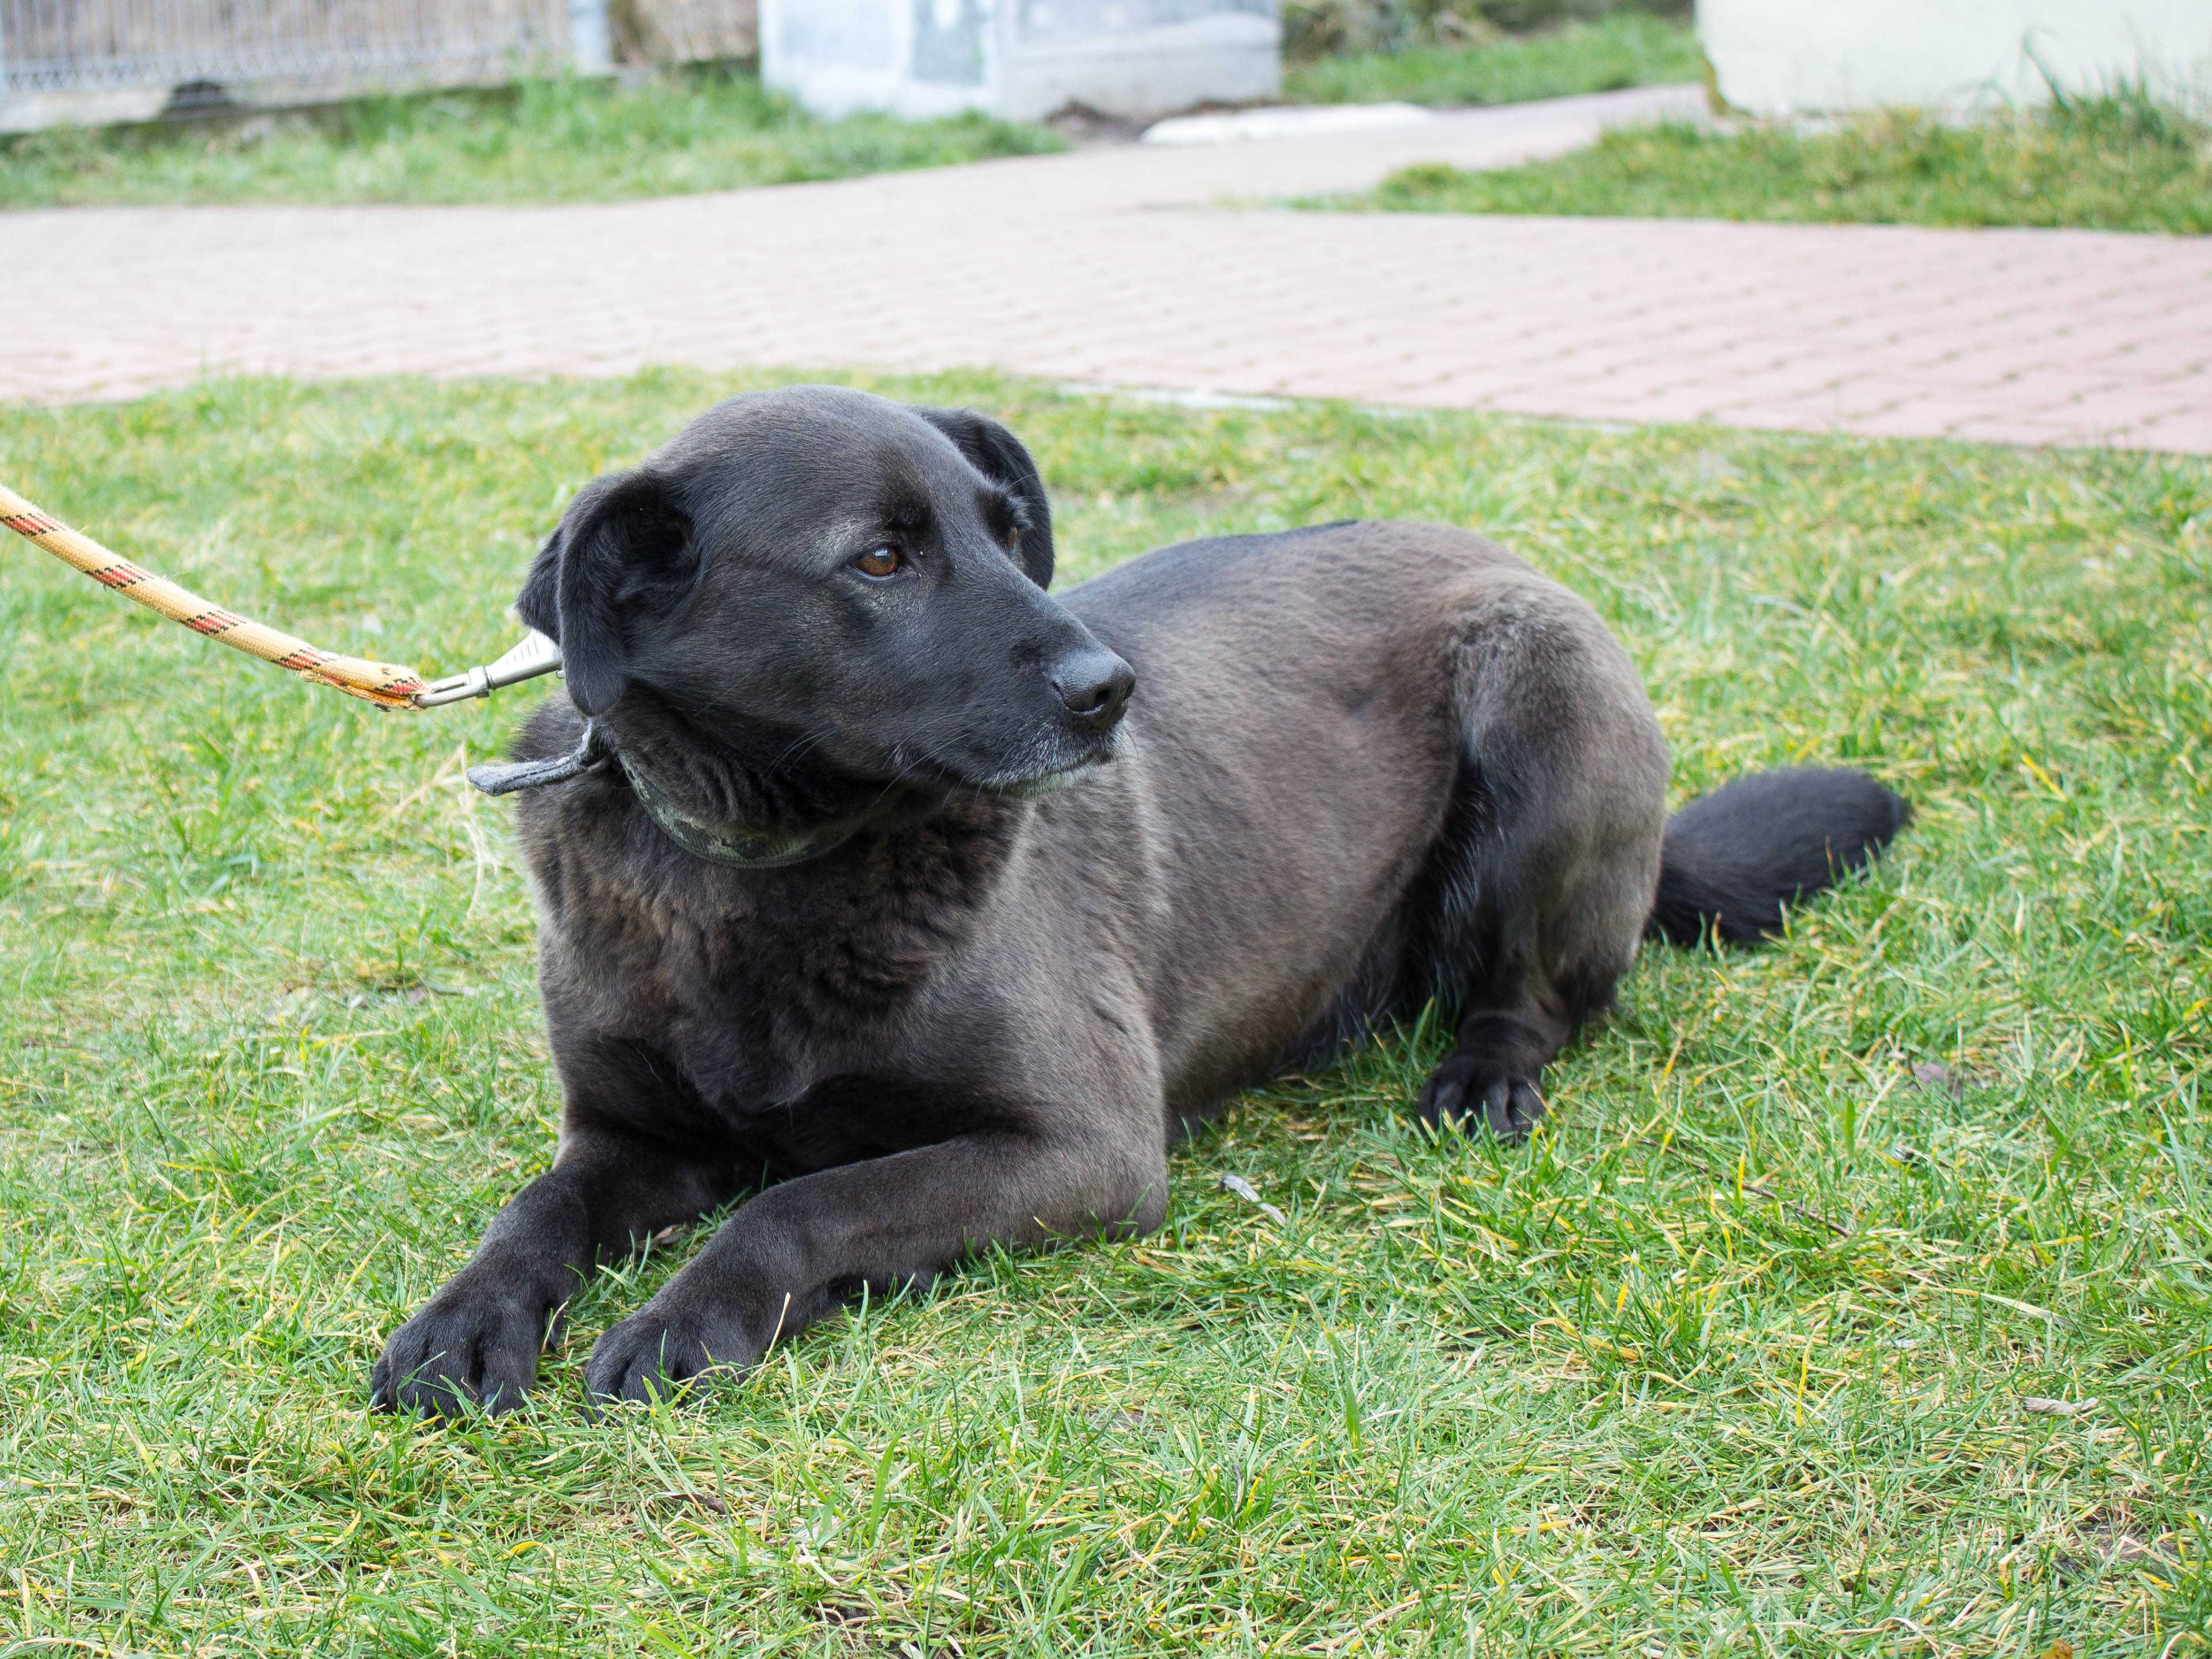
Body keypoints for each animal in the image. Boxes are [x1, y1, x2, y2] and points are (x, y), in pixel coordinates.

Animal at [367, 389, 1902, 1416]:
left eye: (1005, 534)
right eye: (879, 558)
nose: (1111, 689)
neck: (761, 868)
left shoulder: (1083, 1148)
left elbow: (805, 1199)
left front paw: (693, 1315)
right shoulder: (628, 1136)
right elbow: (532, 1209)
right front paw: (465, 1318)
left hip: (1539, 693)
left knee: (1538, 992)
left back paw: (1483, 1072)